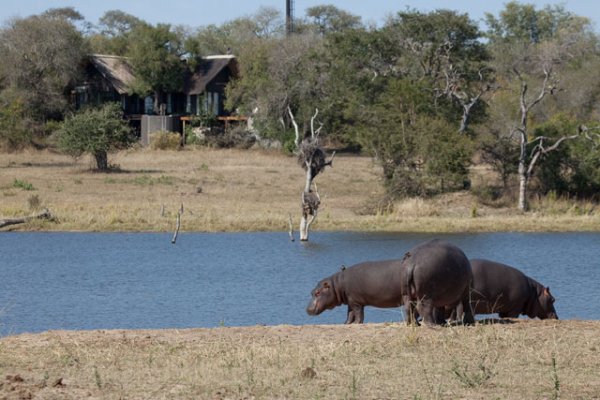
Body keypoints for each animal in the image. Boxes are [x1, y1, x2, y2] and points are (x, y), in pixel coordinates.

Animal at [308, 239, 476, 326]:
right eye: (312, 292)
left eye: (317, 292)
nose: (307, 309)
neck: (337, 283)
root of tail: (411, 263)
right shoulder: (352, 301)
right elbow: (351, 314)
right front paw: (347, 324)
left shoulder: (355, 302)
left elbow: (357, 314)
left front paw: (354, 324)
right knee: (417, 308)